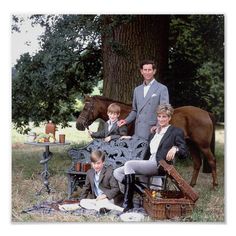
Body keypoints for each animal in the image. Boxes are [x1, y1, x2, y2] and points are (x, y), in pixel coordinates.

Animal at [76, 95, 218, 187]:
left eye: (86, 108)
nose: (78, 125)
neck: (124, 117)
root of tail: (206, 113)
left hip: (203, 146)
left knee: (211, 161)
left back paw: (215, 185)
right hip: (191, 145)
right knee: (197, 163)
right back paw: (192, 184)